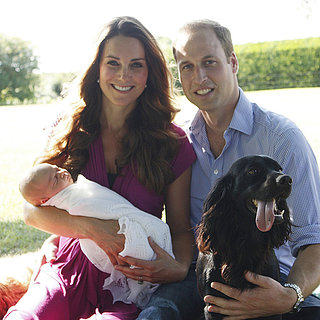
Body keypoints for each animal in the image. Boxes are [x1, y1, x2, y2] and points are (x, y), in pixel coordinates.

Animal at [195, 154, 292, 318]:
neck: (247, 242)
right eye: (253, 171)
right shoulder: (212, 306)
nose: (287, 179)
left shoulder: (272, 305)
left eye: (279, 169)